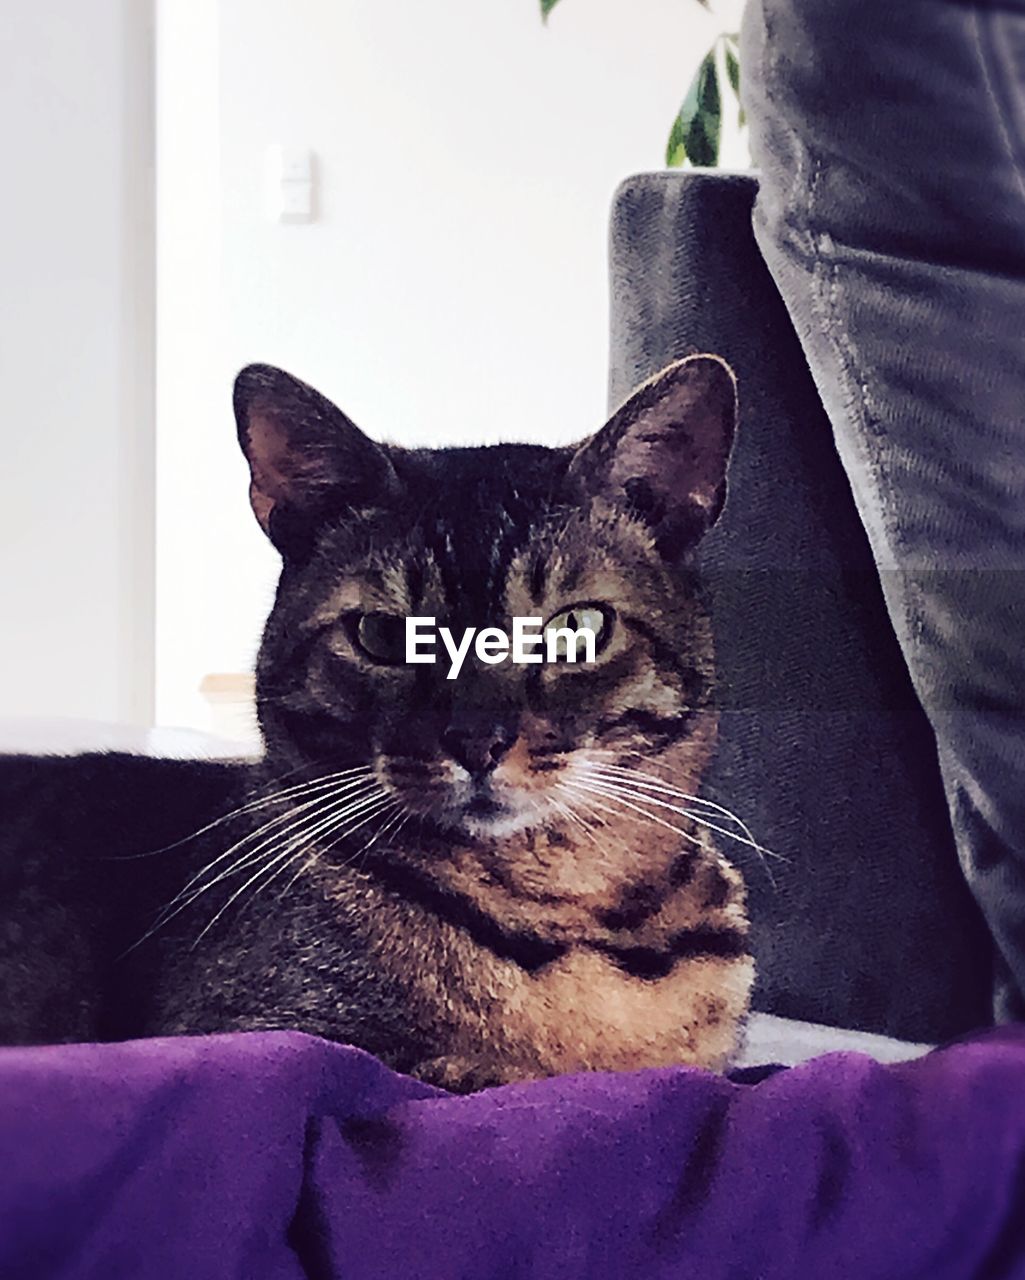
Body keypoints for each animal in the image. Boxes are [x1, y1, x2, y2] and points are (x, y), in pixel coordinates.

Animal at [0, 353, 752, 1090]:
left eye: (577, 628)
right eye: (384, 635)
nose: (477, 739)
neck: (574, 913)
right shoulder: (261, 1032)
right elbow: (483, 1076)